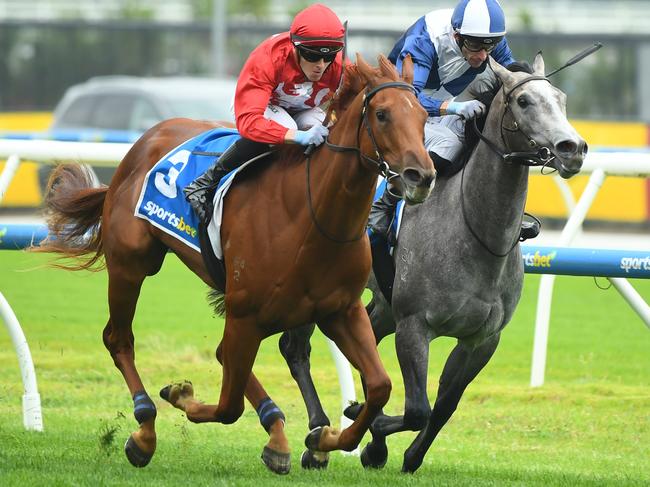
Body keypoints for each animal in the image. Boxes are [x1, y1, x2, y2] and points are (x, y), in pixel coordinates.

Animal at [39, 55, 436, 474]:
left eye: (423, 115)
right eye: (382, 114)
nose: (422, 176)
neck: (312, 216)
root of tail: (146, 139)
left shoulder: (340, 310)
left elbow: (379, 386)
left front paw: (323, 439)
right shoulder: (245, 312)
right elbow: (227, 407)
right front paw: (181, 395)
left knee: (220, 354)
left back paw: (275, 435)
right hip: (131, 264)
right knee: (119, 339)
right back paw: (145, 430)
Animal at [278, 52, 588, 472]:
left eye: (561, 98)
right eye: (524, 102)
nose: (573, 147)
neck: (476, 235)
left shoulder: (482, 339)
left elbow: (443, 406)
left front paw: (404, 453)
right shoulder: (414, 326)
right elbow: (417, 409)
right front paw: (368, 433)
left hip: (383, 306)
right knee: (295, 349)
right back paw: (316, 436)